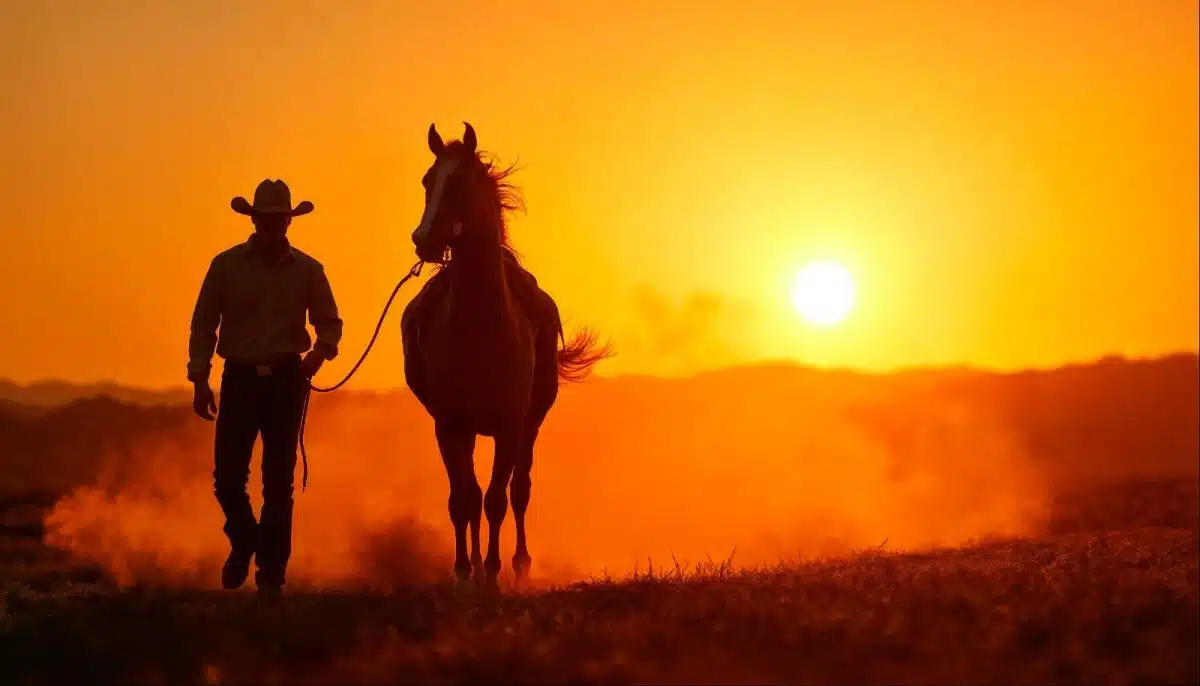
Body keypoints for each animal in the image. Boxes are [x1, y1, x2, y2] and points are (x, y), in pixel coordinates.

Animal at [400, 122, 612, 587]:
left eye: (460, 182)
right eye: (427, 181)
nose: (424, 241)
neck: (480, 327)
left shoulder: (510, 427)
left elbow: (497, 498)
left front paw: (495, 571)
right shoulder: (450, 426)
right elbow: (463, 499)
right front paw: (465, 571)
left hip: (529, 425)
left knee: (518, 490)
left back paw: (518, 565)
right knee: (474, 494)